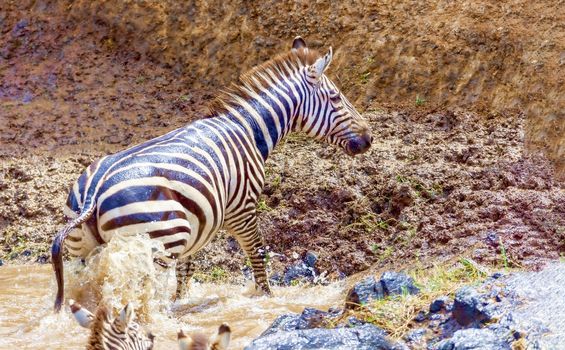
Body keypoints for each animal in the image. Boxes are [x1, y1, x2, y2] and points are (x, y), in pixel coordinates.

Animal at [51, 37, 370, 312]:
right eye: (336, 98)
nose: (369, 139)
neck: (247, 129)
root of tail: (94, 192)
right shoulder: (242, 209)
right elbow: (258, 254)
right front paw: (266, 298)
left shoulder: (195, 223)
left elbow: (186, 270)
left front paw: (181, 302)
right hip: (157, 243)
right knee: (141, 296)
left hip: (84, 250)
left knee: (90, 288)